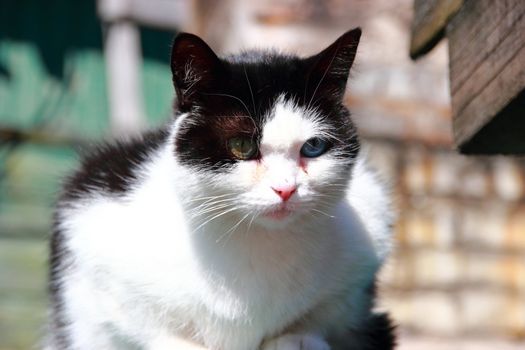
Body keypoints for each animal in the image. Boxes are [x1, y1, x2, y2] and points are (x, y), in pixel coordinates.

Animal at [48, 28, 392, 350]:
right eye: (241, 146)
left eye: (313, 147)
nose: (285, 189)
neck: (255, 242)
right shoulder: (89, 222)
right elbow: (133, 321)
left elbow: (325, 315)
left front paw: (296, 338)